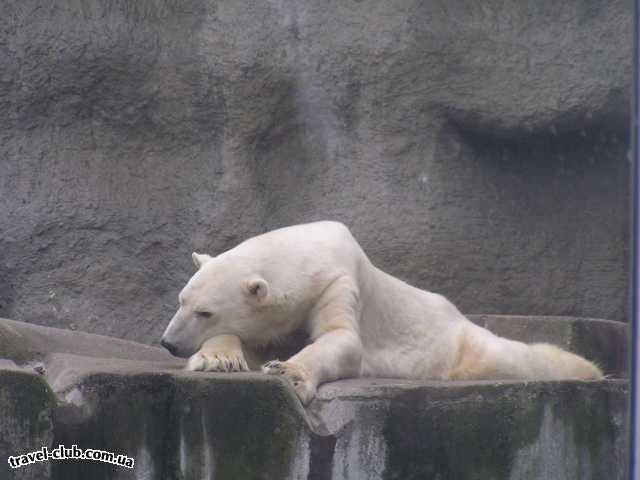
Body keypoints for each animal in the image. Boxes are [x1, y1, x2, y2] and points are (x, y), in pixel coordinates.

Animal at [159, 221, 600, 404]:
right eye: (181, 301)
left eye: (204, 312)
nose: (168, 343)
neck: (308, 253)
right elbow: (250, 341)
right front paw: (218, 358)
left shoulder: (338, 284)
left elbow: (342, 340)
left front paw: (290, 372)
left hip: (454, 343)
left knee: (512, 356)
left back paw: (587, 369)